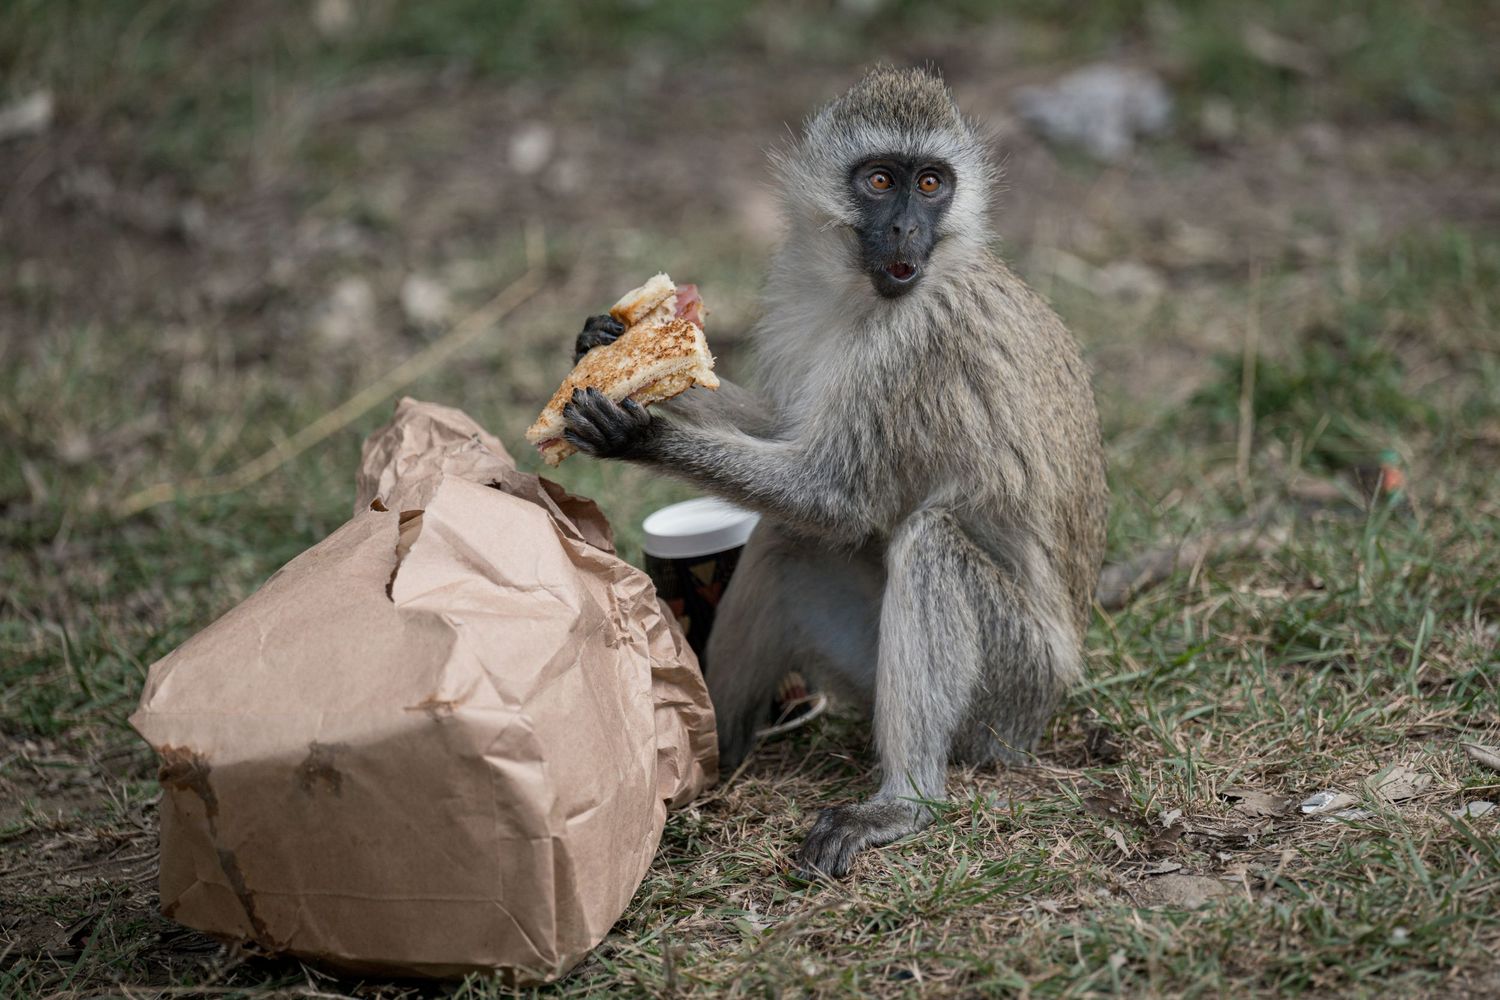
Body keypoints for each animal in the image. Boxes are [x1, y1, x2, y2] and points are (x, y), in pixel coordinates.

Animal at [560, 66, 1108, 878]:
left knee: (930, 545)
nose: (908, 230)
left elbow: (834, 495)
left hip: (1015, 689)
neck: (868, 299)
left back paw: (905, 799)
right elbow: (789, 439)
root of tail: (1044, 715)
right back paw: (714, 754)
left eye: (932, 183)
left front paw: (643, 432)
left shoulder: (917, 346)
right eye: (881, 180)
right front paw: (609, 342)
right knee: (784, 547)